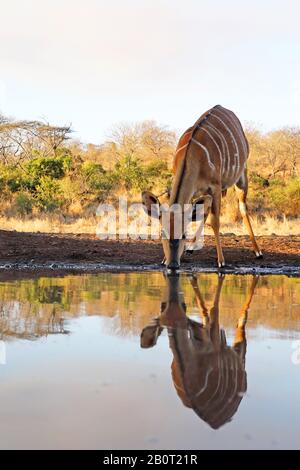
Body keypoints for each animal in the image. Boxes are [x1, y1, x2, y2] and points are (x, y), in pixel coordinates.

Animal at [141, 276, 258, 430]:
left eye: (184, 307)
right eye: (163, 306)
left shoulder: (214, 342)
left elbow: (214, 308)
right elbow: (205, 310)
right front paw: (192, 277)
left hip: (239, 351)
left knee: (241, 321)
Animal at [142, 104, 262, 270]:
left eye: (184, 234)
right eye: (162, 234)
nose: (173, 264)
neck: (193, 156)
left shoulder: (216, 187)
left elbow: (215, 221)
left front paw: (221, 261)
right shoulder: (195, 191)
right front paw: (165, 259)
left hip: (241, 177)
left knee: (243, 208)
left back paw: (258, 251)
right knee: (204, 212)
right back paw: (191, 248)